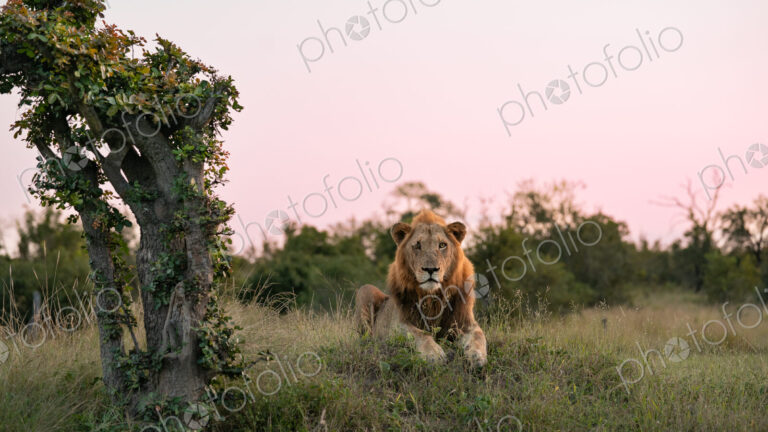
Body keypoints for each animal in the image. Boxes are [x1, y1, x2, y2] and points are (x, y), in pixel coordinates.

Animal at [355, 210, 487, 368]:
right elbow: (420, 334)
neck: (432, 297)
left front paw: (477, 356)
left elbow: (479, 335)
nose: (431, 269)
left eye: (442, 245)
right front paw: (434, 355)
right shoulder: (399, 323)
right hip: (365, 290)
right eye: (417, 245)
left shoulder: (464, 323)